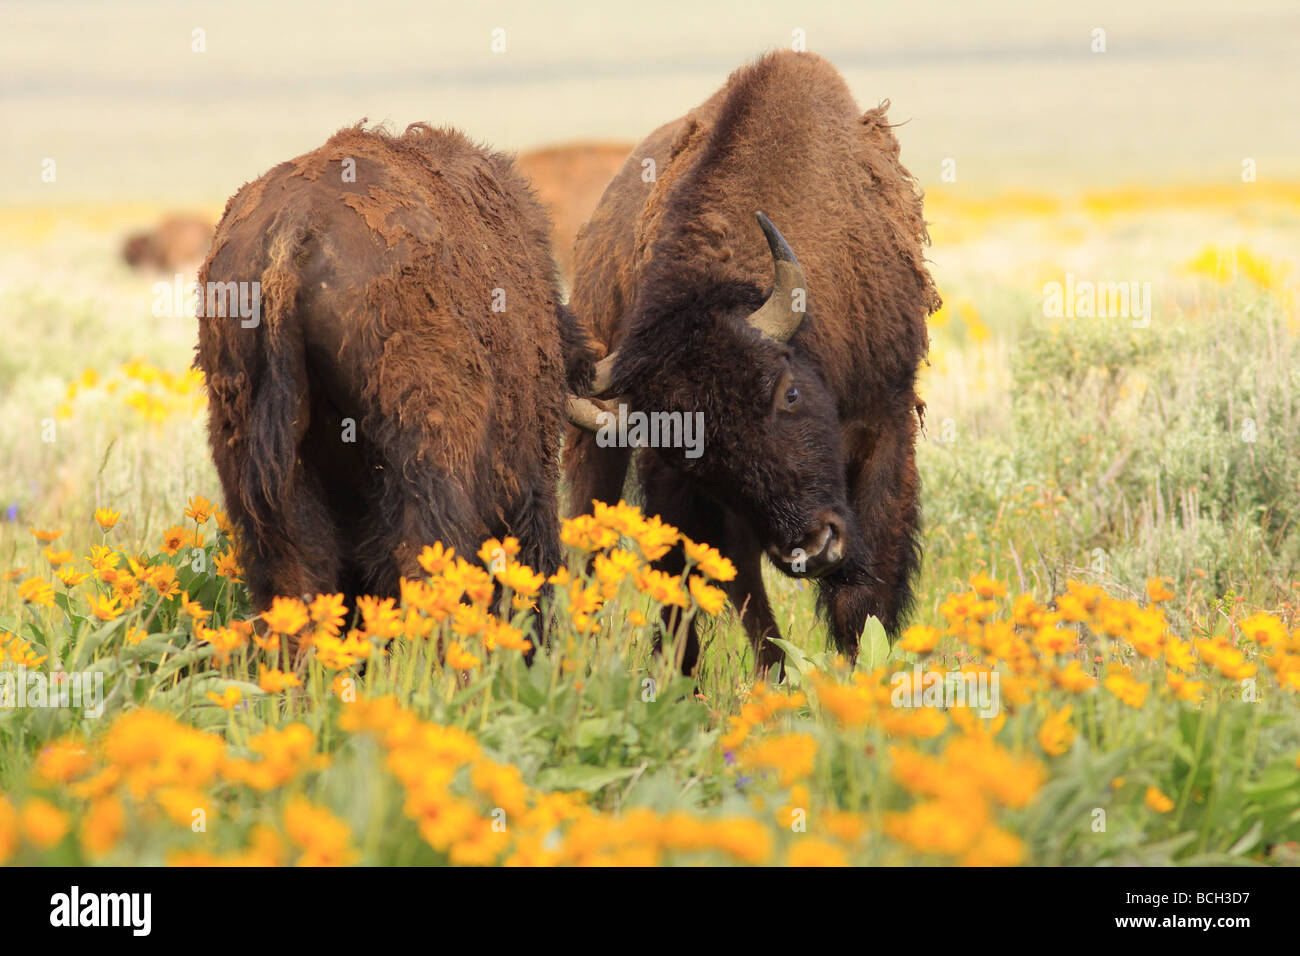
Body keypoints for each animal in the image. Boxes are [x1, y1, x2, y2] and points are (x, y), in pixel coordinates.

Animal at [565, 52, 940, 674]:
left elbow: (863, 596)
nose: (813, 548)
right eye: (694, 458)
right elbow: (684, 598)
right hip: (597, 445)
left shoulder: (885, 420)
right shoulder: (667, 476)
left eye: (788, 392)